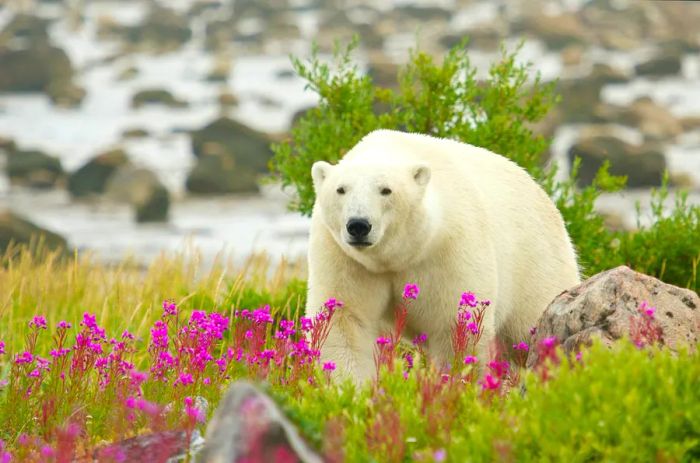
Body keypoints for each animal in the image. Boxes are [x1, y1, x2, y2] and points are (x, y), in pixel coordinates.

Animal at [306, 129, 580, 382]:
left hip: (535, 262)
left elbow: (454, 325)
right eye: (341, 189)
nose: (358, 225)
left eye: (386, 190)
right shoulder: (345, 257)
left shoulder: (449, 247)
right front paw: (350, 388)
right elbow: (345, 318)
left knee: (530, 321)